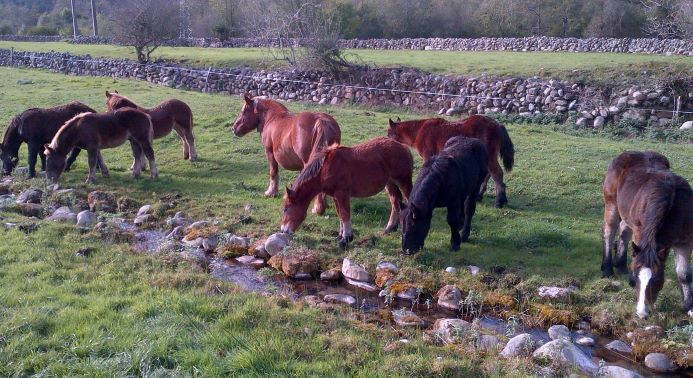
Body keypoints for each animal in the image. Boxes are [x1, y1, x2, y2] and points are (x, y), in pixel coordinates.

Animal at [600, 151, 692, 318]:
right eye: (636, 277)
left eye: (657, 279)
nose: (642, 313)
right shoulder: (639, 231)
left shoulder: (686, 241)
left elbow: (684, 274)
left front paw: (689, 306)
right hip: (611, 204)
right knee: (609, 232)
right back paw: (608, 269)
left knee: (624, 231)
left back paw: (621, 265)